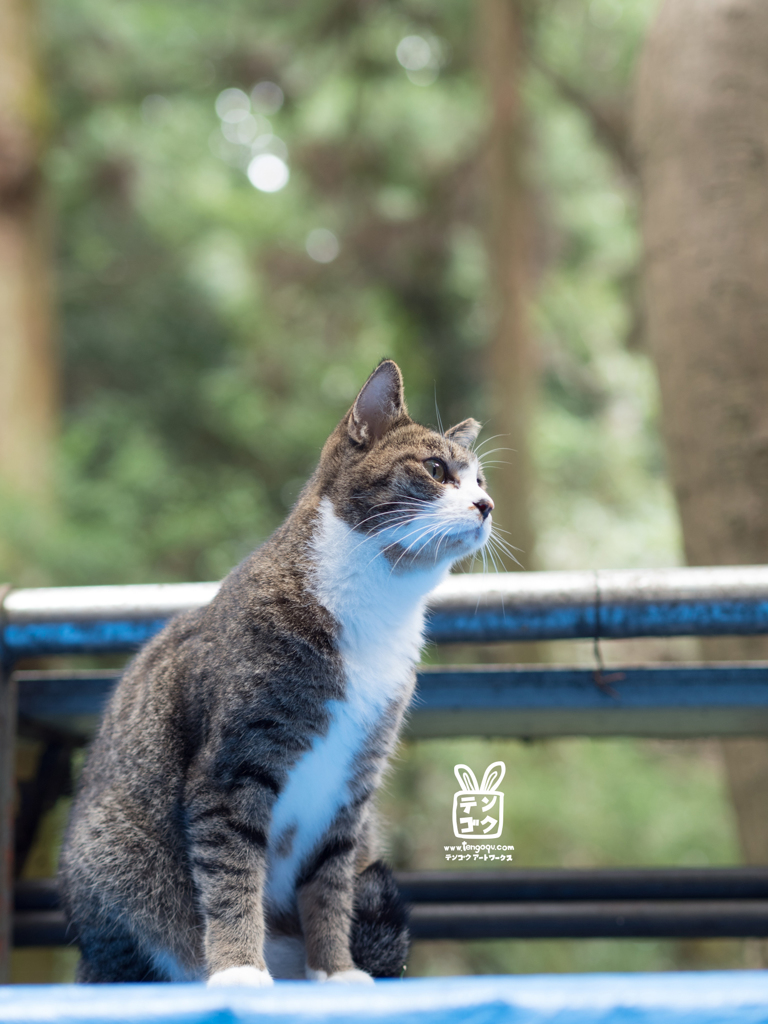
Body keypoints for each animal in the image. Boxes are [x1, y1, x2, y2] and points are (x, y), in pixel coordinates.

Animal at [58, 360, 493, 983]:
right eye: (437, 470)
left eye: (480, 482)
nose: (486, 507)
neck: (378, 607)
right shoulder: (231, 770)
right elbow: (232, 876)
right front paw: (240, 968)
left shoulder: (351, 794)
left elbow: (331, 888)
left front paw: (336, 970)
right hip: (117, 862)